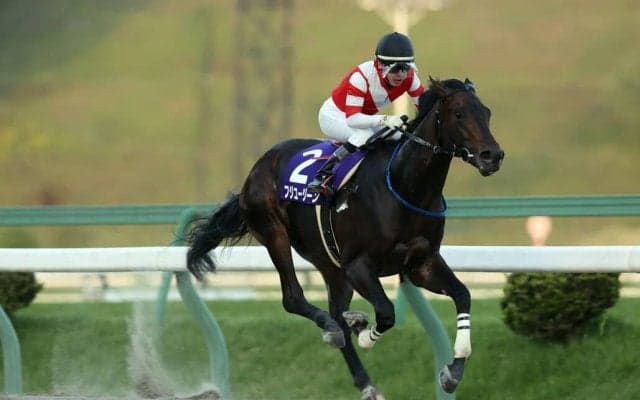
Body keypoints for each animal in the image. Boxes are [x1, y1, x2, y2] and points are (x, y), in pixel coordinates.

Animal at [187, 77, 504, 399]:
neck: (404, 187)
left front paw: (453, 372)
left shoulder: (422, 264)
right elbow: (386, 313)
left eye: (487, 113)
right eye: (459, 114)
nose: (492, 156)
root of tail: (257, 167)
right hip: (274, 233)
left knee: (337, 311)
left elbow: (463, 295)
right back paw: (335, 328)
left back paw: (364, 373)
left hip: (331, 265)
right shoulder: (358, 265)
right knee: (298, 300)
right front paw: (365, 333)